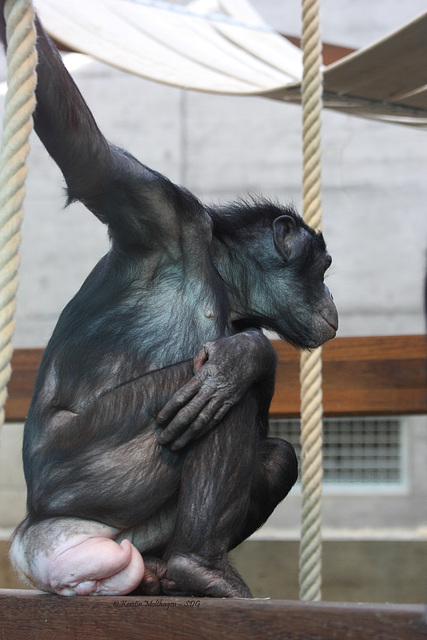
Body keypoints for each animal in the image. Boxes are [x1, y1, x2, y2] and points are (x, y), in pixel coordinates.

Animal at [1, 7, 340, 596]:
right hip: (92, 471)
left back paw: (166, 573)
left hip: (122, 538)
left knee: (272, 452)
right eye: (322, 270)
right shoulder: (158, 206)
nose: (332, 300)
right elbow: (87, 155)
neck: (222, 269)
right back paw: (198, 565)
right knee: (221, 391)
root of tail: (34, 537)